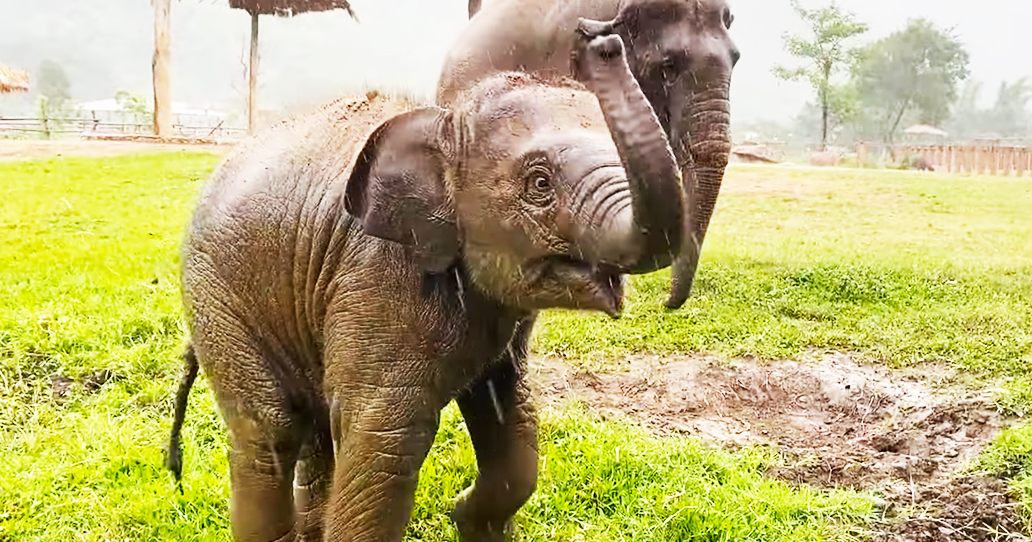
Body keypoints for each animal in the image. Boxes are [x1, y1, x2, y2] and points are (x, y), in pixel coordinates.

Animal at [166, 31, 691, 541]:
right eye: (540, 183)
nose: (603, 41)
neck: (445, 121)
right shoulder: (378, 280)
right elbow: (386, 441)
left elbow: (511, 411)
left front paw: (464, 517)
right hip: (218, 297)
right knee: (269, 432)